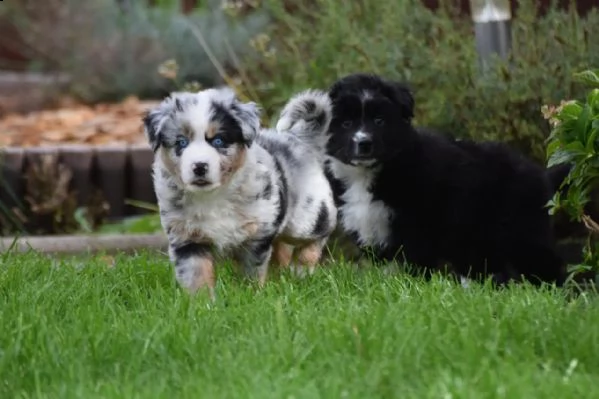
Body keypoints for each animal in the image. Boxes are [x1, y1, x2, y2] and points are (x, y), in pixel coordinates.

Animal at [142, 88, 336, 300]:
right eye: (181, 142)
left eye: (218, 141)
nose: (199, 167)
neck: (212, 195)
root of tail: (297, 138)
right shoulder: (186, 237)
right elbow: (196, 274)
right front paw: (202, 303)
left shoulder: (256, 233)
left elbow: (252, 271)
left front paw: (253, 295)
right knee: (281, 249)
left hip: (305, 216)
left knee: (320, 233)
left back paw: (301, 270)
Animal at [322, 73, 564, 286]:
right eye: (346, 123)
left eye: (379, 120)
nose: (364, 143)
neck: (368, 174)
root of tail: (540, 173)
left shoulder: (417, 227)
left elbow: (414, 264)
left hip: (524, 231)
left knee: (544, 265)